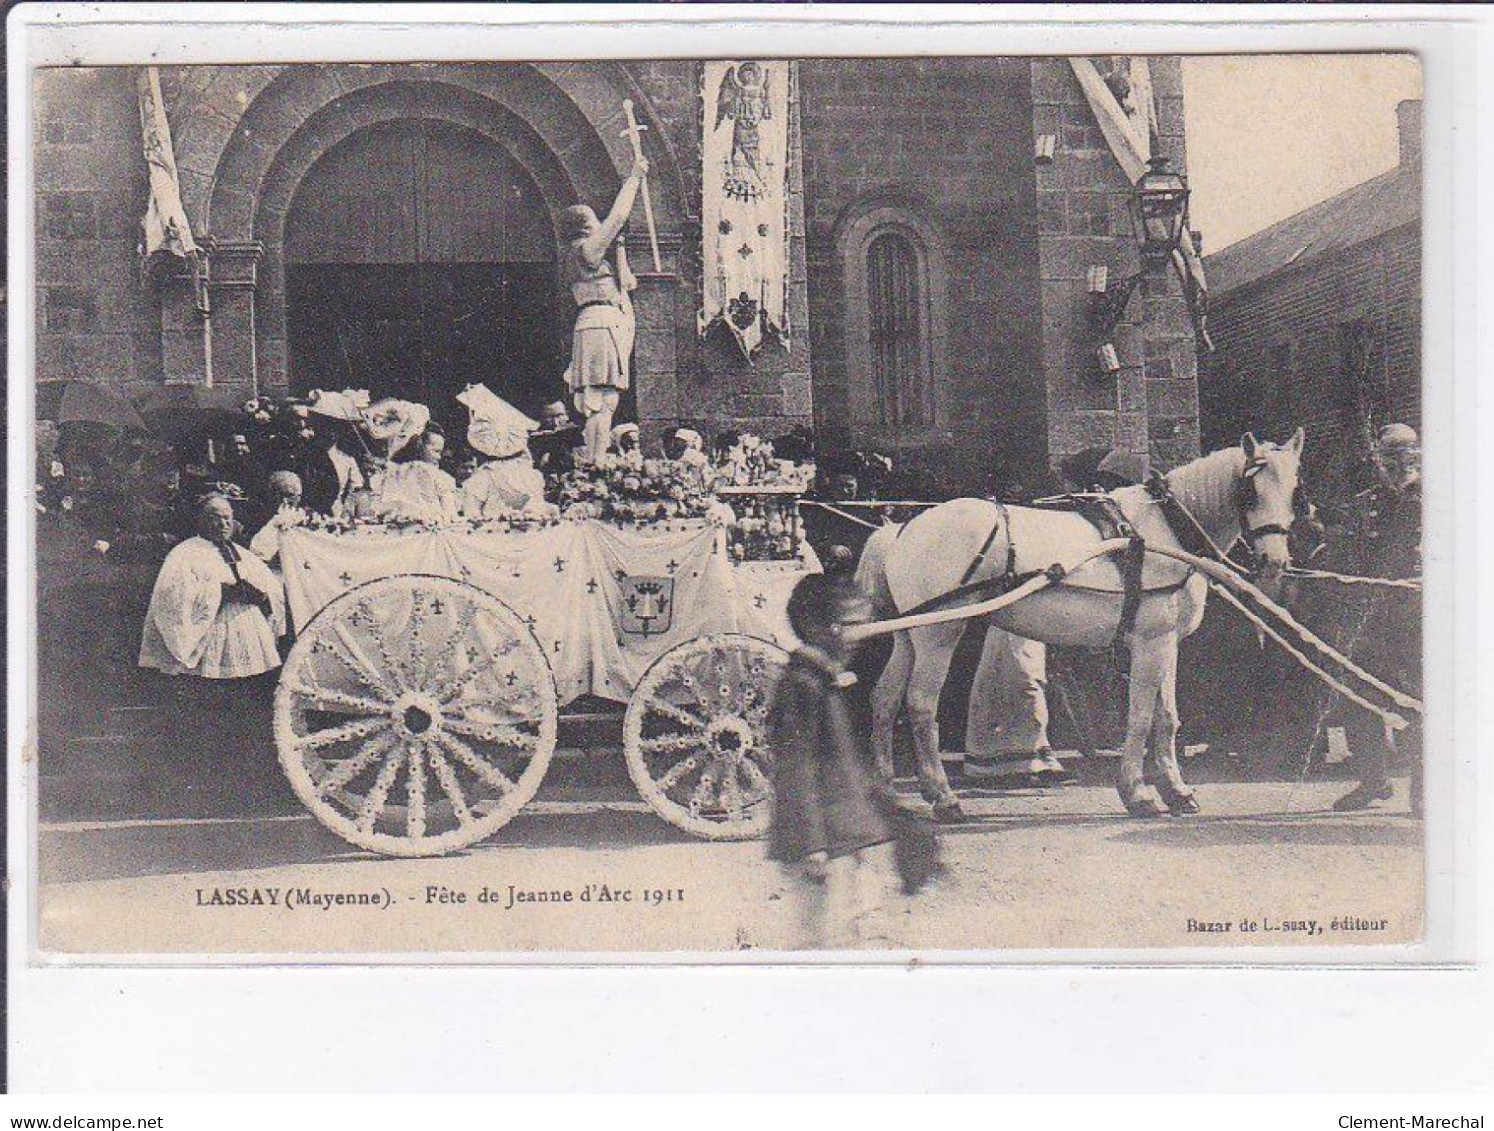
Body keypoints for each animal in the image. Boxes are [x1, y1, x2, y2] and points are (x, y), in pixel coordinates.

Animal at [860, 433, 1302, 818]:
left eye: (1295, 490)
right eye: (1250, 491)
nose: (1275, 563)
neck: (1165, 529)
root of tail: (901, 530)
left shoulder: (1167, 643)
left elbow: (1167, 718)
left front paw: (1176, 791)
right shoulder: (1149, 642)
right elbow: (1141, 715)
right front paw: (1138, 793)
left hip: (908, 636)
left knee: (884, 699)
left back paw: (888, 793)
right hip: (938, 635)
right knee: (920, 704)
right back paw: (944, 798)